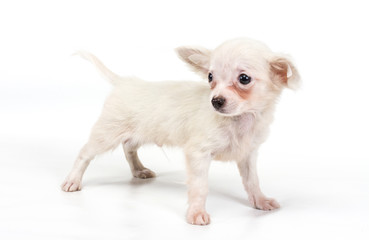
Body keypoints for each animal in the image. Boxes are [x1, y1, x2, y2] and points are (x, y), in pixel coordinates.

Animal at [61, 38, 300, 226]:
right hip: (106, 134)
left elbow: (252, 182)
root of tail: (124, 82)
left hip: (137, 132)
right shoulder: (198, 154)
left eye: (244, 79)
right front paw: (196, 213)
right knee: (85, 153)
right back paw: (72, 181)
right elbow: (200, 187)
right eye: (210, 77)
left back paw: (138, 170)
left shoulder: (248, 155)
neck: (240, 120)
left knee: (128, 147)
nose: (215, 101)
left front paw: (260, 201)